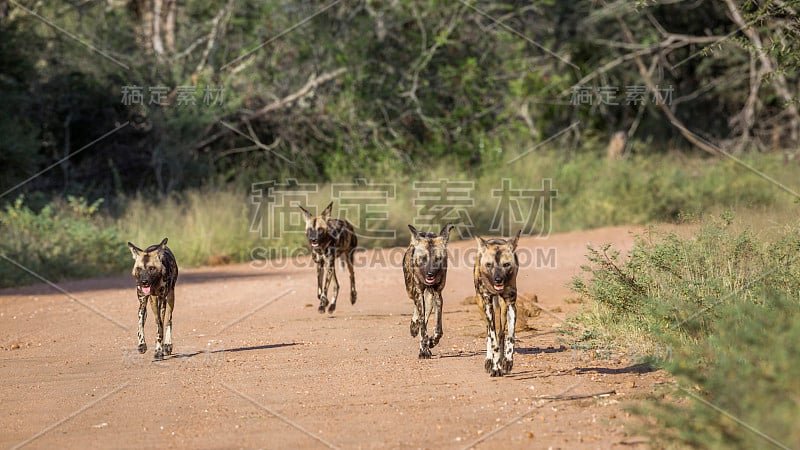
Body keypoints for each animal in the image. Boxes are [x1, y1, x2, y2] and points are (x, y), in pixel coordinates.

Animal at [404, 224, 454, 358]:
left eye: (438, 259)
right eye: (423, 258)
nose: (430, 274)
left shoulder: (437, 295)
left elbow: (438, 329)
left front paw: (431, 342)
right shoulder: (418, 292)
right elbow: (423, 328)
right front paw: (424, 349)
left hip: (430, 298)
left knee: (425, 316)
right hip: (411, 291)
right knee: (419, 313)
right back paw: (414, 326)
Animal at [472, 232, 520, 376]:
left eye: (506, 264)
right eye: (489, 265)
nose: (498, 280)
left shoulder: (511, 304)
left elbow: (510, 336)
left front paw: (507, 361)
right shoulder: (487, 305)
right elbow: (493, 341)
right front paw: (495, 366)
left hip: (503, 310)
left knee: (501, 333)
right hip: (481, 305)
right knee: (489, 332)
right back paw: (490, 359)